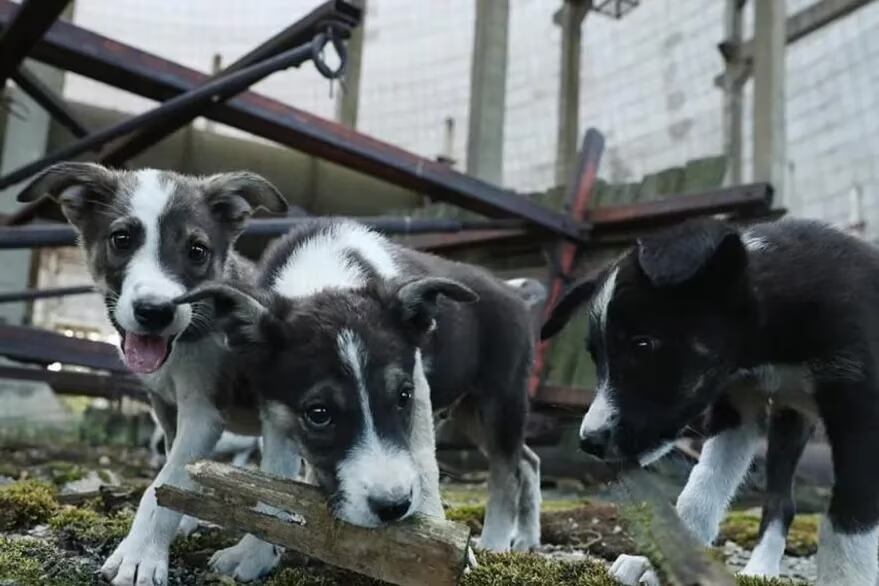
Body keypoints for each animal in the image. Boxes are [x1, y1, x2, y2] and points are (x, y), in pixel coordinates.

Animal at [17, 163, 288, 584]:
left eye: (197, 250)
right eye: (121, 239)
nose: (155, 311)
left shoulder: (203, 414)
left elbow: (161, 487)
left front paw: (140, 556)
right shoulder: (166, 407)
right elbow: (173, 478)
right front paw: (175, 525)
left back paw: (254, 553)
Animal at [184, 219, 544, 556]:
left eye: (402, 396)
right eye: (319, 414)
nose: (394, 508)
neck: (324, 274)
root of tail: (513, 291)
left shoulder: (419, 391)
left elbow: (425, 463)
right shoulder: (275, 407)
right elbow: (274, 471)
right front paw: (253, 556)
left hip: (500, 400)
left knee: (506, 472)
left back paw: (496, 542)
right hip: (470, 411)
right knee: (528, 460)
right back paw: (527, 537)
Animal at [544, 218, 879, 584]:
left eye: (643, 344)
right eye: (595, 356)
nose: (589, 442)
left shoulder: (862, 415)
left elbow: (847, 526)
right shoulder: (738, 407)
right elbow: (701, 491)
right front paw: (661, 562)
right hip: (790, 417)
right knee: (780, 501)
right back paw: (761, 568)